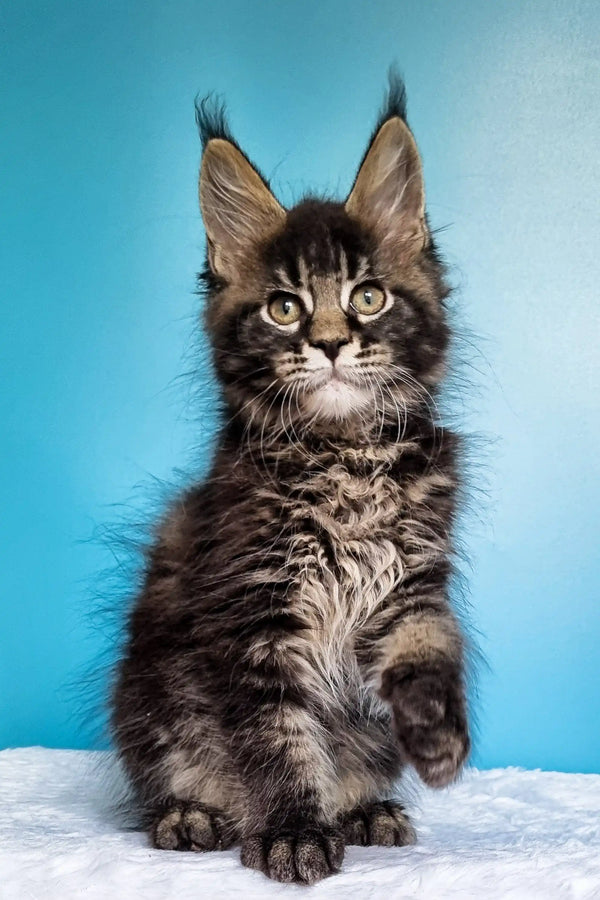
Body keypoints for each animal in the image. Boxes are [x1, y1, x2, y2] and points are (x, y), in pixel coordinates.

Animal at [111, 79, 468, 884]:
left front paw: (435, 733)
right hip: (150, 698)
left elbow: (429, 648)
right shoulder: (255, 611)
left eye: (368, 297)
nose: (331, 343)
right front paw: (294, 831)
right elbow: (278, 736)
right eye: (284, 308)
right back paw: (191, 817)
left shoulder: (410, 584)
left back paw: (365, 810)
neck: (344, 458)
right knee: (168, 778)